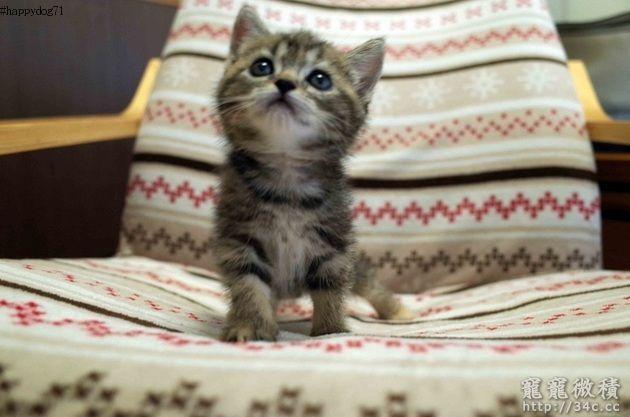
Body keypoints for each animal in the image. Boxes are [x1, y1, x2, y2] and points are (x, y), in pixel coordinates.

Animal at [214, 5, 410, 342]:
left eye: (320, 79)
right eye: (262, 66)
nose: (284, 82)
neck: (286, 179)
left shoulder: (335, 241)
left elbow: (331, 288)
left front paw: (330, 330)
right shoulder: (239, 238)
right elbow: (248, 285)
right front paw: (250, 325)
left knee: (367, 282)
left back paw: (395, 310)